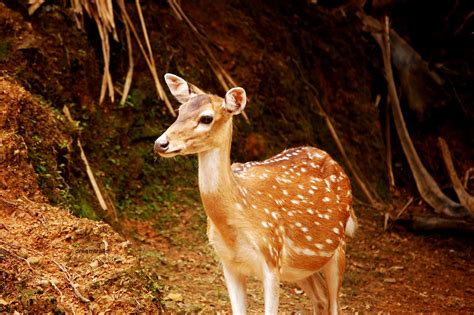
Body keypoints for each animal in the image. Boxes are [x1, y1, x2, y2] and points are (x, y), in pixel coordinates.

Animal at [154, 73, 358, 314]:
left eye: (206, 118)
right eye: (180, 110)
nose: (161, 143)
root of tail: (334, 161)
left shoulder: (271, 255)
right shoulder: (229, 263)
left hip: (338, 249)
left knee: (334, 302)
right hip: (298, 268)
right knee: (321, 298)